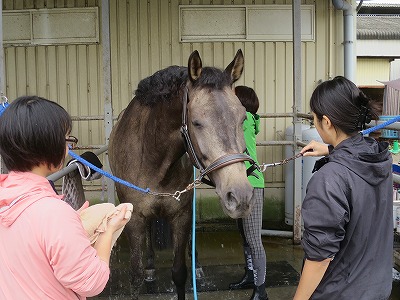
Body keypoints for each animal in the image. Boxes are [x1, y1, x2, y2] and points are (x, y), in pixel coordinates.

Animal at [108, 50, 255, 298]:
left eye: (243, 119)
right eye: (196, 123)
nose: (241, 196)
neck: (153, 158)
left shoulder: (182, 215)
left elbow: (179, 273)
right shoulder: (135, 219)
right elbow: (135, 276)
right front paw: (144, 272)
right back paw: (150, 268)